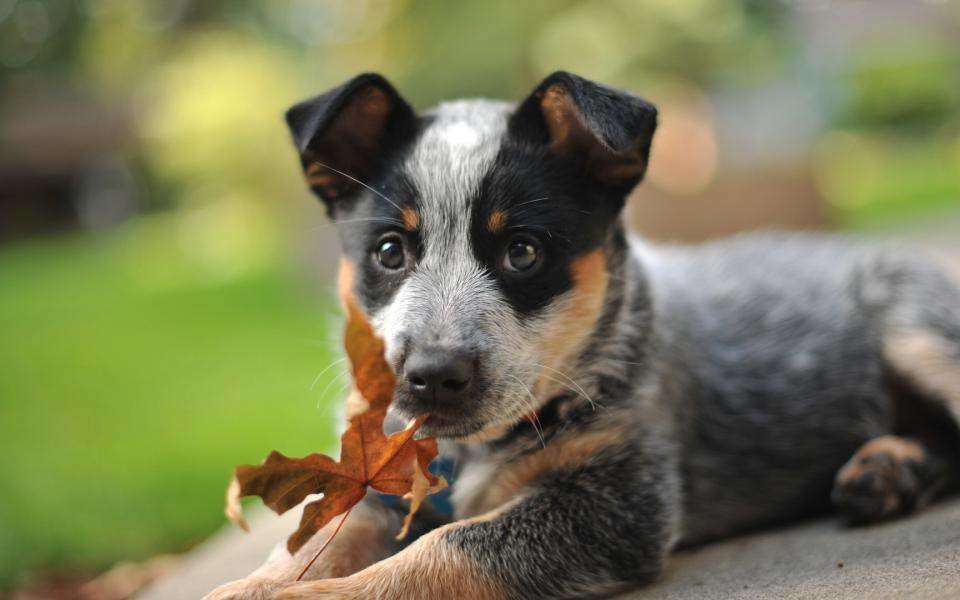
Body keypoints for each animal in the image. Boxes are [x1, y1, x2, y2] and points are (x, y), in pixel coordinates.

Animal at [208, 71, 960, 600]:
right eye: (390, 251)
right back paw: (886, 470)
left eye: (523, 252)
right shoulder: (376, 485)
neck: (465, 456)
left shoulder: (618, 503)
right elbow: (310, 542)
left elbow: (448, 548)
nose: (433, 375)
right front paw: (251, 586)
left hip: (916, 329)